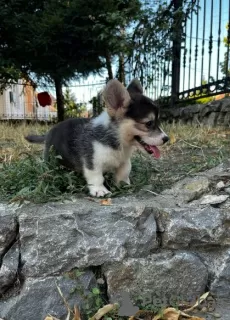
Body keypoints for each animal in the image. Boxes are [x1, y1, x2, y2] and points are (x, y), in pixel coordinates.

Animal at [25, 79, 169, 196]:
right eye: (149, 123)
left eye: (158, 121)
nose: (166, 139)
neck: (118, 141)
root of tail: (49, 132)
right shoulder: (92, 162)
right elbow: (96, 177)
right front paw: (100, 190)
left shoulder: (124, 161)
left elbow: (124, 172)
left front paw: (123, 184)